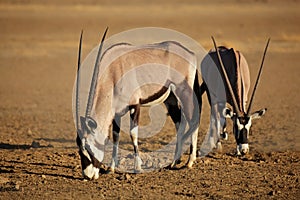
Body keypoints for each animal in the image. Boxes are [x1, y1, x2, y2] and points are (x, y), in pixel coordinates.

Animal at [74, 28, 202, 180]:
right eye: (79, 148)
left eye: (89, 146)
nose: (87, 176)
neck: (113, 74)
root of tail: (190, 53)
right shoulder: (116, 113)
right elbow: (116, 136)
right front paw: (111, 168)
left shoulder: (135, 105)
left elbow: (133, 134)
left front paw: (138, 167)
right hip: (170, 98)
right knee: (180, 123)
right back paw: (174, 162)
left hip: (185, 93)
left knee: (193, 120)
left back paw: (190, 161)